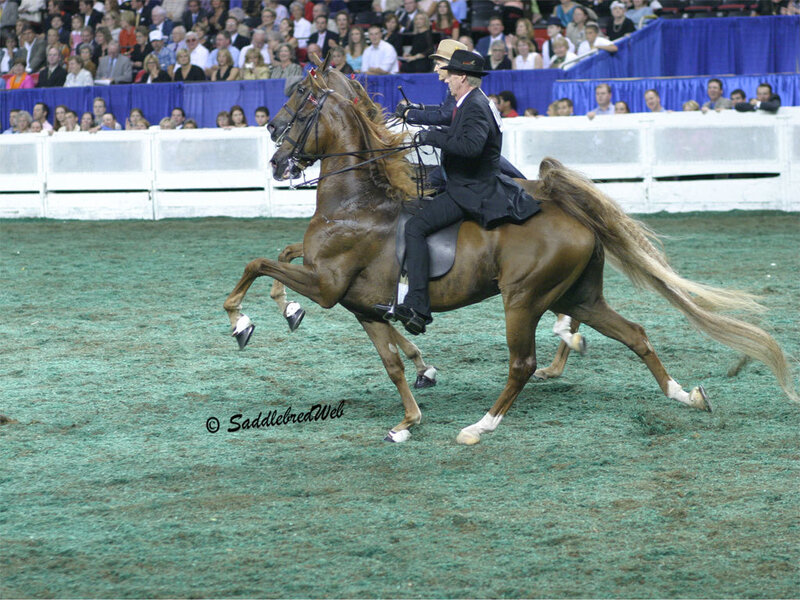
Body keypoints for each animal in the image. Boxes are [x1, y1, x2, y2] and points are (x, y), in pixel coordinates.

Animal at [223, 68, 797, 445]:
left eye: (300, 103)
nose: (275, 155)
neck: (357, 202)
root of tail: (573, 215)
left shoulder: (326, 285)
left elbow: (257, 263)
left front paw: (247, 320)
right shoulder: (361, 306)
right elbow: (392, 363)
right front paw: (408, 420)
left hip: (522, 298)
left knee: (523, 362)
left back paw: (481, 426)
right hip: (580, 294)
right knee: (633, 334)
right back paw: (684, 396)